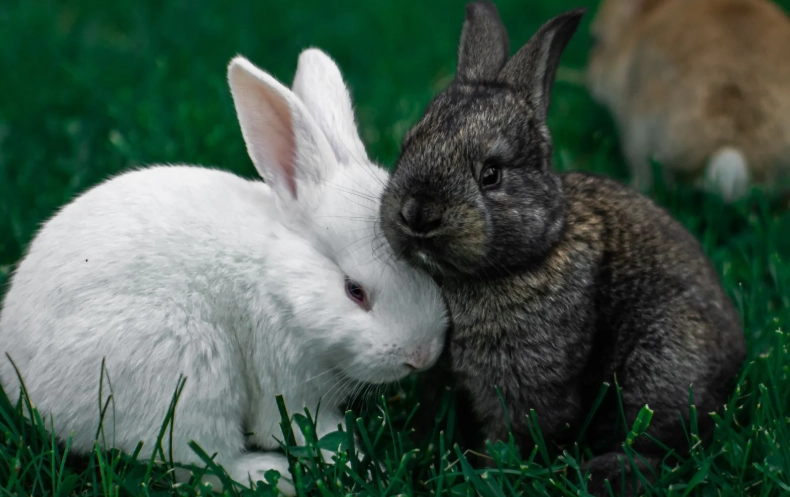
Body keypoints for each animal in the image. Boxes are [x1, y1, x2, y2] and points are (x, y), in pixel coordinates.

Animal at [0, 49, 448, 495]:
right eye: (355, 291)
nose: (421, 356)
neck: (280, 283)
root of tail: (22, 383)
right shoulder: (285, 380)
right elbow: (307, 429)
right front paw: (366, 467)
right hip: (188, 374)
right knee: (201, 463)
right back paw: (274, 475)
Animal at [379, 2, 746, 495]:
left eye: (491, 174)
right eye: (407, 145)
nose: (417, 214)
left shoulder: (522, 383)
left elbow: (514, 431)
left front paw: (489, 472)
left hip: (665, 363)